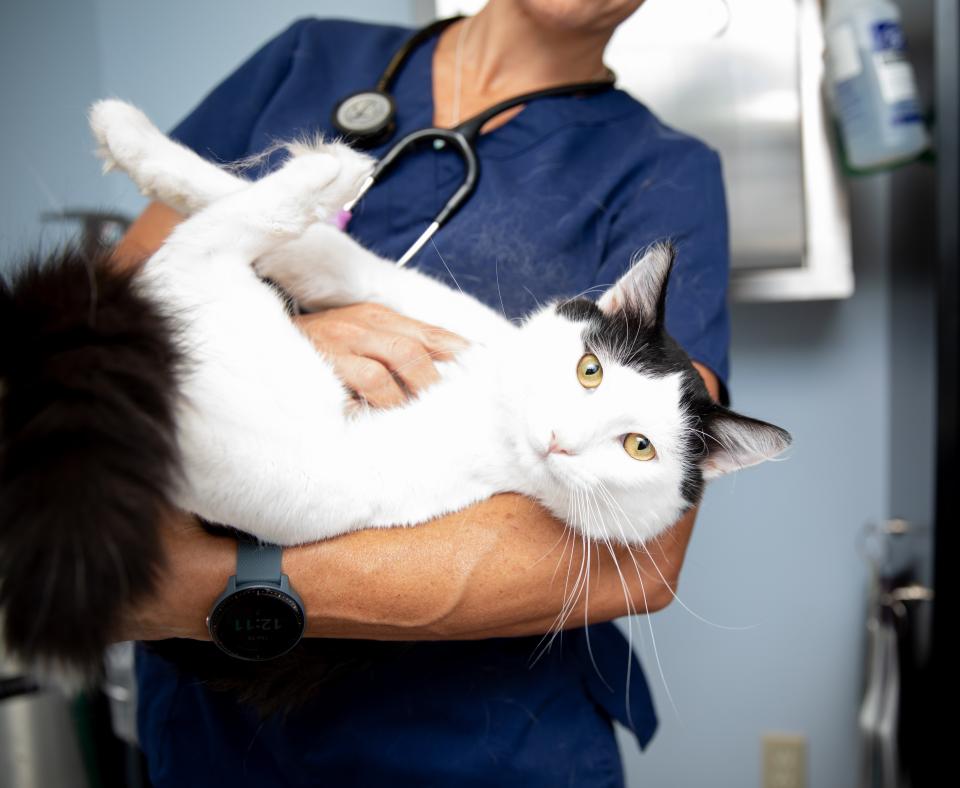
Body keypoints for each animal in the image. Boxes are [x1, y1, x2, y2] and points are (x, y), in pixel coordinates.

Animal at [0, 101, 788, 688]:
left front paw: (320, 169)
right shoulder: (421, 303)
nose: (559, 437)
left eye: (638, 446)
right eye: (589, 370)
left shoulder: (317, 470)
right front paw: (137, 141)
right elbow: (313, 245)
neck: (487, 406)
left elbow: (199, 251)